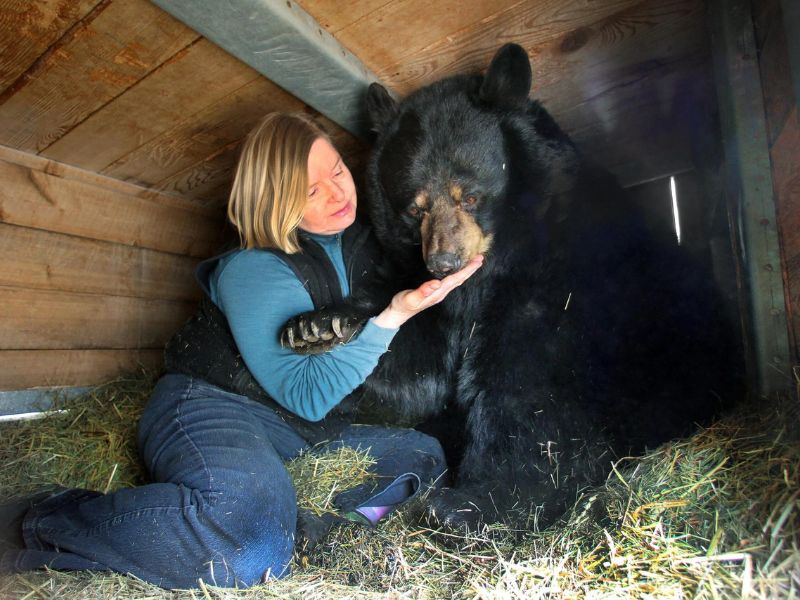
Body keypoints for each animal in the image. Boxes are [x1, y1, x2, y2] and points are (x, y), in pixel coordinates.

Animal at [284, 43, 740, 528]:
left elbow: (532, 388)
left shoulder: (565, 280)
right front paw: (318, 327)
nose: (442, 263)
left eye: (470, 195)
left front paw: (476, 502)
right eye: (415, 208)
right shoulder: (430, 295)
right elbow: (417, 370)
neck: (492, 269)